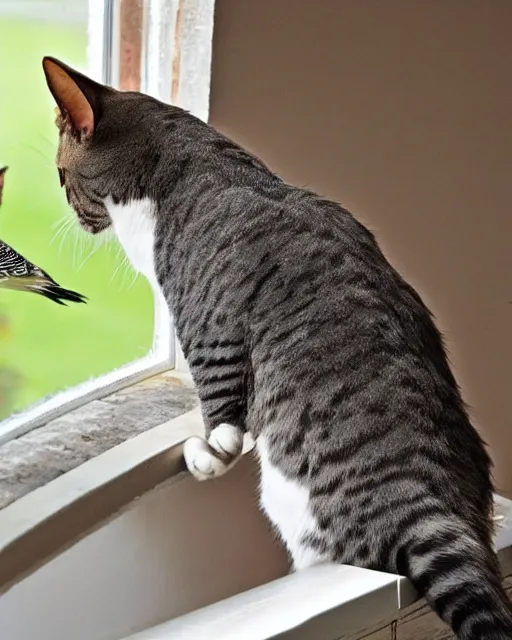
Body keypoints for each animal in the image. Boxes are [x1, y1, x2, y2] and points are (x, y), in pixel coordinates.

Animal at [43, 56, 512, 640]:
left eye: (61, 176)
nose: (70, 210)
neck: (196, 171)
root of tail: (433, 510)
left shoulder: (209, 328)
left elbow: (223, 428)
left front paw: (201, 456)